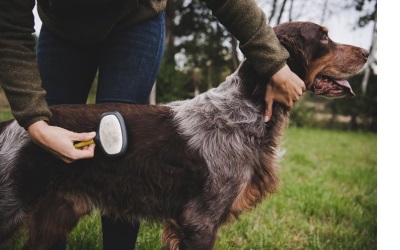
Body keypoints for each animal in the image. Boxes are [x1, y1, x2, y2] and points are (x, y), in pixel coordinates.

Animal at [0, 22, 368, 249]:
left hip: (56, 214)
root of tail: (12, 125)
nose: (367, 53)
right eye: (324, 37)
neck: (245, 108)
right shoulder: (199, 221)